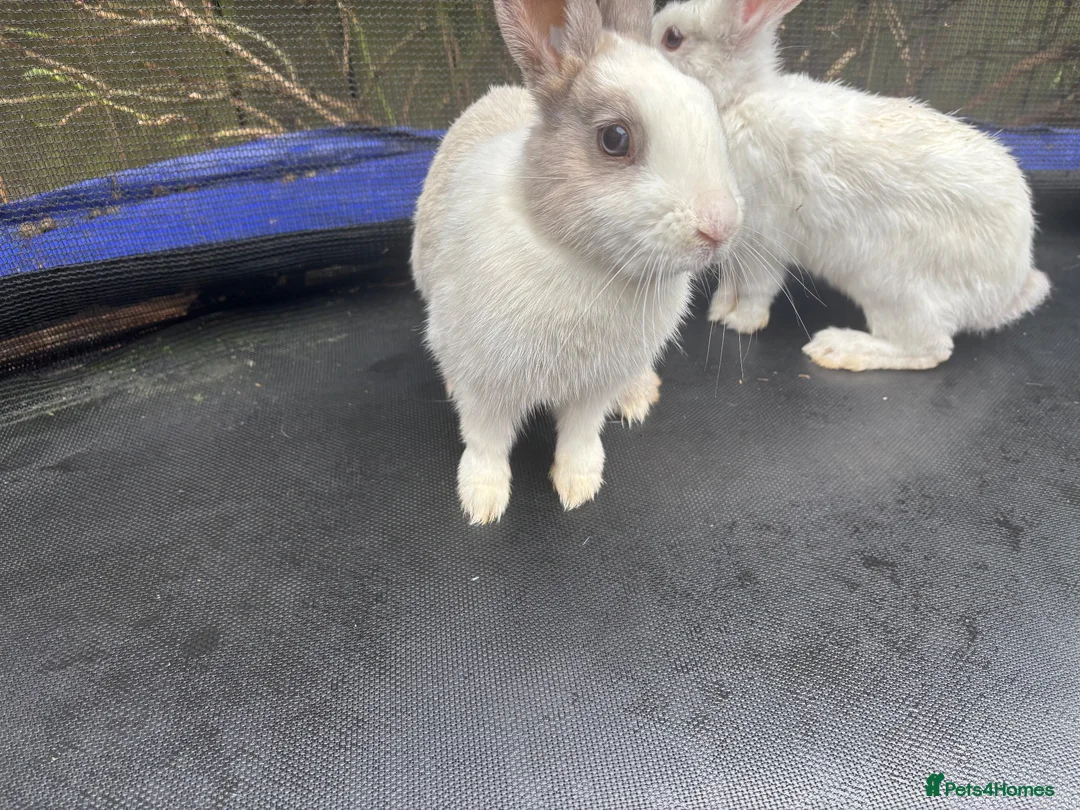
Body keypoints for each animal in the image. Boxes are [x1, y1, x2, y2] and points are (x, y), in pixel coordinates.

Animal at [411, 0, 743, 524]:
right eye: (615, 138)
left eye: (709, 108)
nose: (721, 227)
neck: (585, 261)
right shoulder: (486, 380)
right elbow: (486, 441)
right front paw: (482, 502)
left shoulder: (595, 386)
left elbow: (581, 435)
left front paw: (578, 486)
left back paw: (638, 395)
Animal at [651, 0, 1051, 372]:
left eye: (673, 37)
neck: (736, 100)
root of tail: (1008, 288)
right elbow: (731, 282)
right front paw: (720, 311)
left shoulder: (764, 239)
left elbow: (755, 287)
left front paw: (740, 323)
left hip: (894, 287)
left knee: (929, 349)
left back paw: (837, 348)